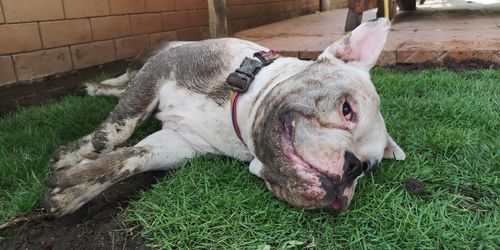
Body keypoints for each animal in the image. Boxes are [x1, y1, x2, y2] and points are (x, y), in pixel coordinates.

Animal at [45, 18, 406, 217]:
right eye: (347, 109)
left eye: (369, 168)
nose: (353, 166)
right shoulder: (161, 72)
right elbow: (117, 131)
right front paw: (72, 157)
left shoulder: (178, 143)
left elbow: (130, 159)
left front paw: (76, 187)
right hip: (146, 65)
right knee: (120, 86)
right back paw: (93, 88)